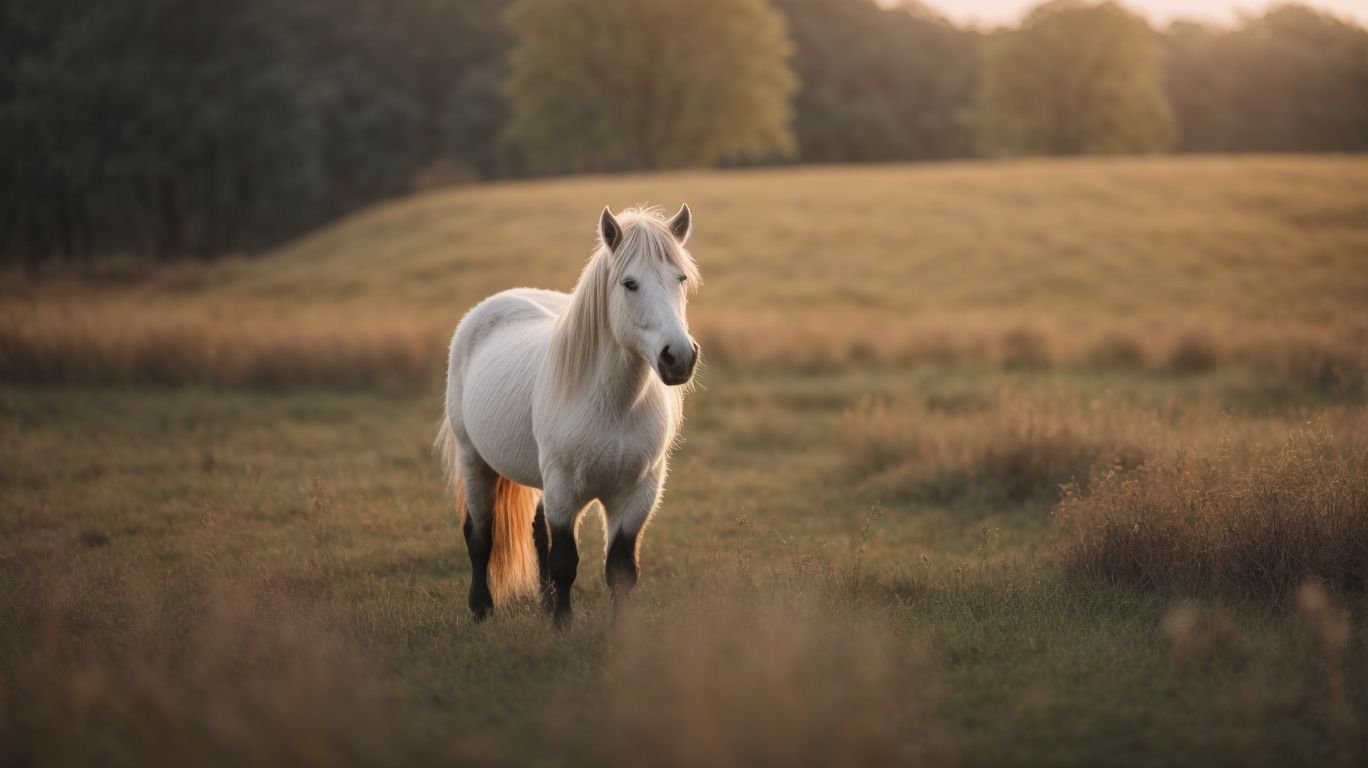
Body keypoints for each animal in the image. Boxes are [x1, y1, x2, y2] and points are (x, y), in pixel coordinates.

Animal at [435, 204, 701, 626]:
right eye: (629, 283)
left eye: (681, 278)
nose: (678, 357)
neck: (613, 405)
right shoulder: (564, 489)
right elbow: (564, 563)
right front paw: (562, 628)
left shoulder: (637, 493)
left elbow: (620, 570)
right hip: (473, 459)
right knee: (480, 535)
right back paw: (481, 609)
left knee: (534, 532)